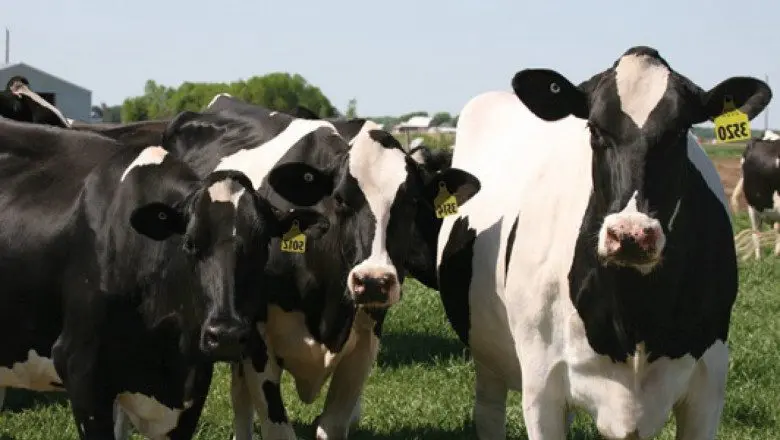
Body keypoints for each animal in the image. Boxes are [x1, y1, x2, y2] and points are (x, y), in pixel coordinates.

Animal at [157, 100, 481, 440]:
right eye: (339, 198)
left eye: (413, 202)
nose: (374, 281)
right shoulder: (257, 340)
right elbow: (277, 428)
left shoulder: (365, 343)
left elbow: (334, 425)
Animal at [436, 46, 769, 439]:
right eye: (594, 128)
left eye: (680, 131)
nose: (631, 234)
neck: (634, 314)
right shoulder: (541, 386)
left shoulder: (709, 383)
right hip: (487, 356)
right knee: (489, 410)